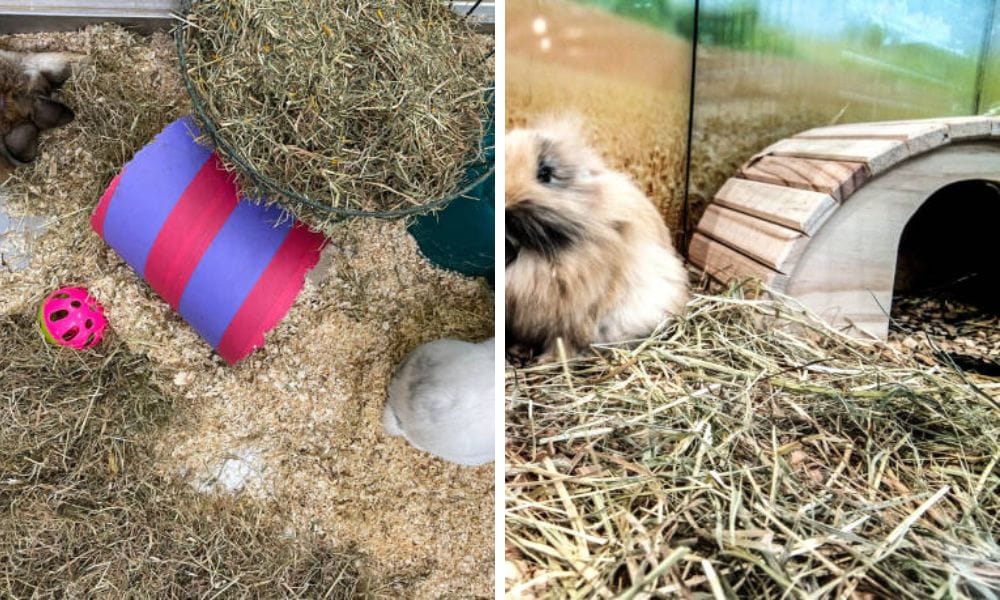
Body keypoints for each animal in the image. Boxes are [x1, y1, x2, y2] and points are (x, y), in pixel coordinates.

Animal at [505, 117, 688, 363]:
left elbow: (563, 341)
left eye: (546, 173)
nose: (506, 207)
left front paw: (549, 361)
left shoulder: (575, 316)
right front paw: (519, 351)